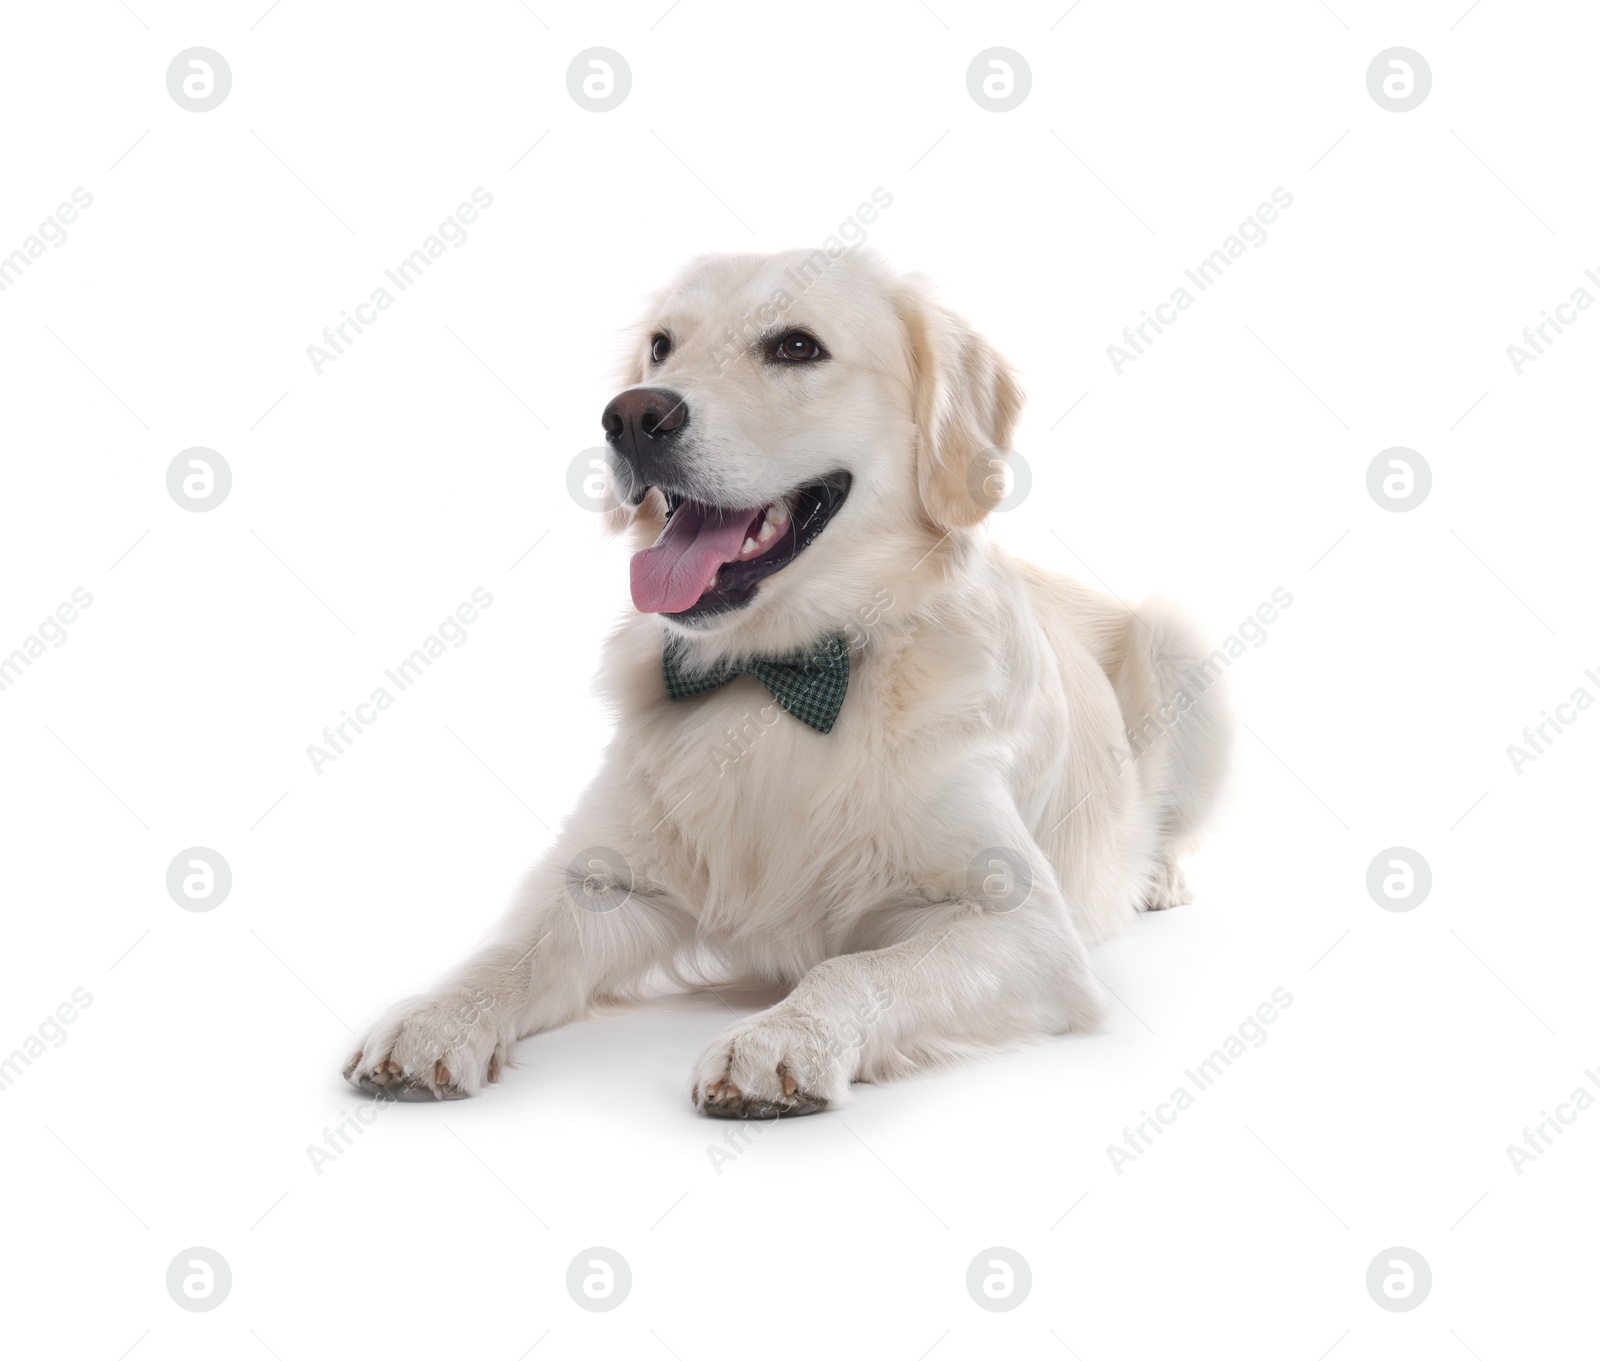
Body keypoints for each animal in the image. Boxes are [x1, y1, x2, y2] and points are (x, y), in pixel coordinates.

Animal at [344, 247, 1228, 1119]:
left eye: (796, 346)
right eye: (662, 345)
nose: (629, 416)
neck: (771, 674)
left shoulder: (1023, 923)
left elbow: (854, 968)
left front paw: (780, 1038)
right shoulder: (602, 878)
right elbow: (507, 949)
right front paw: (433, 1016)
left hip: (1182, 645)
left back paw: (1156, 877)